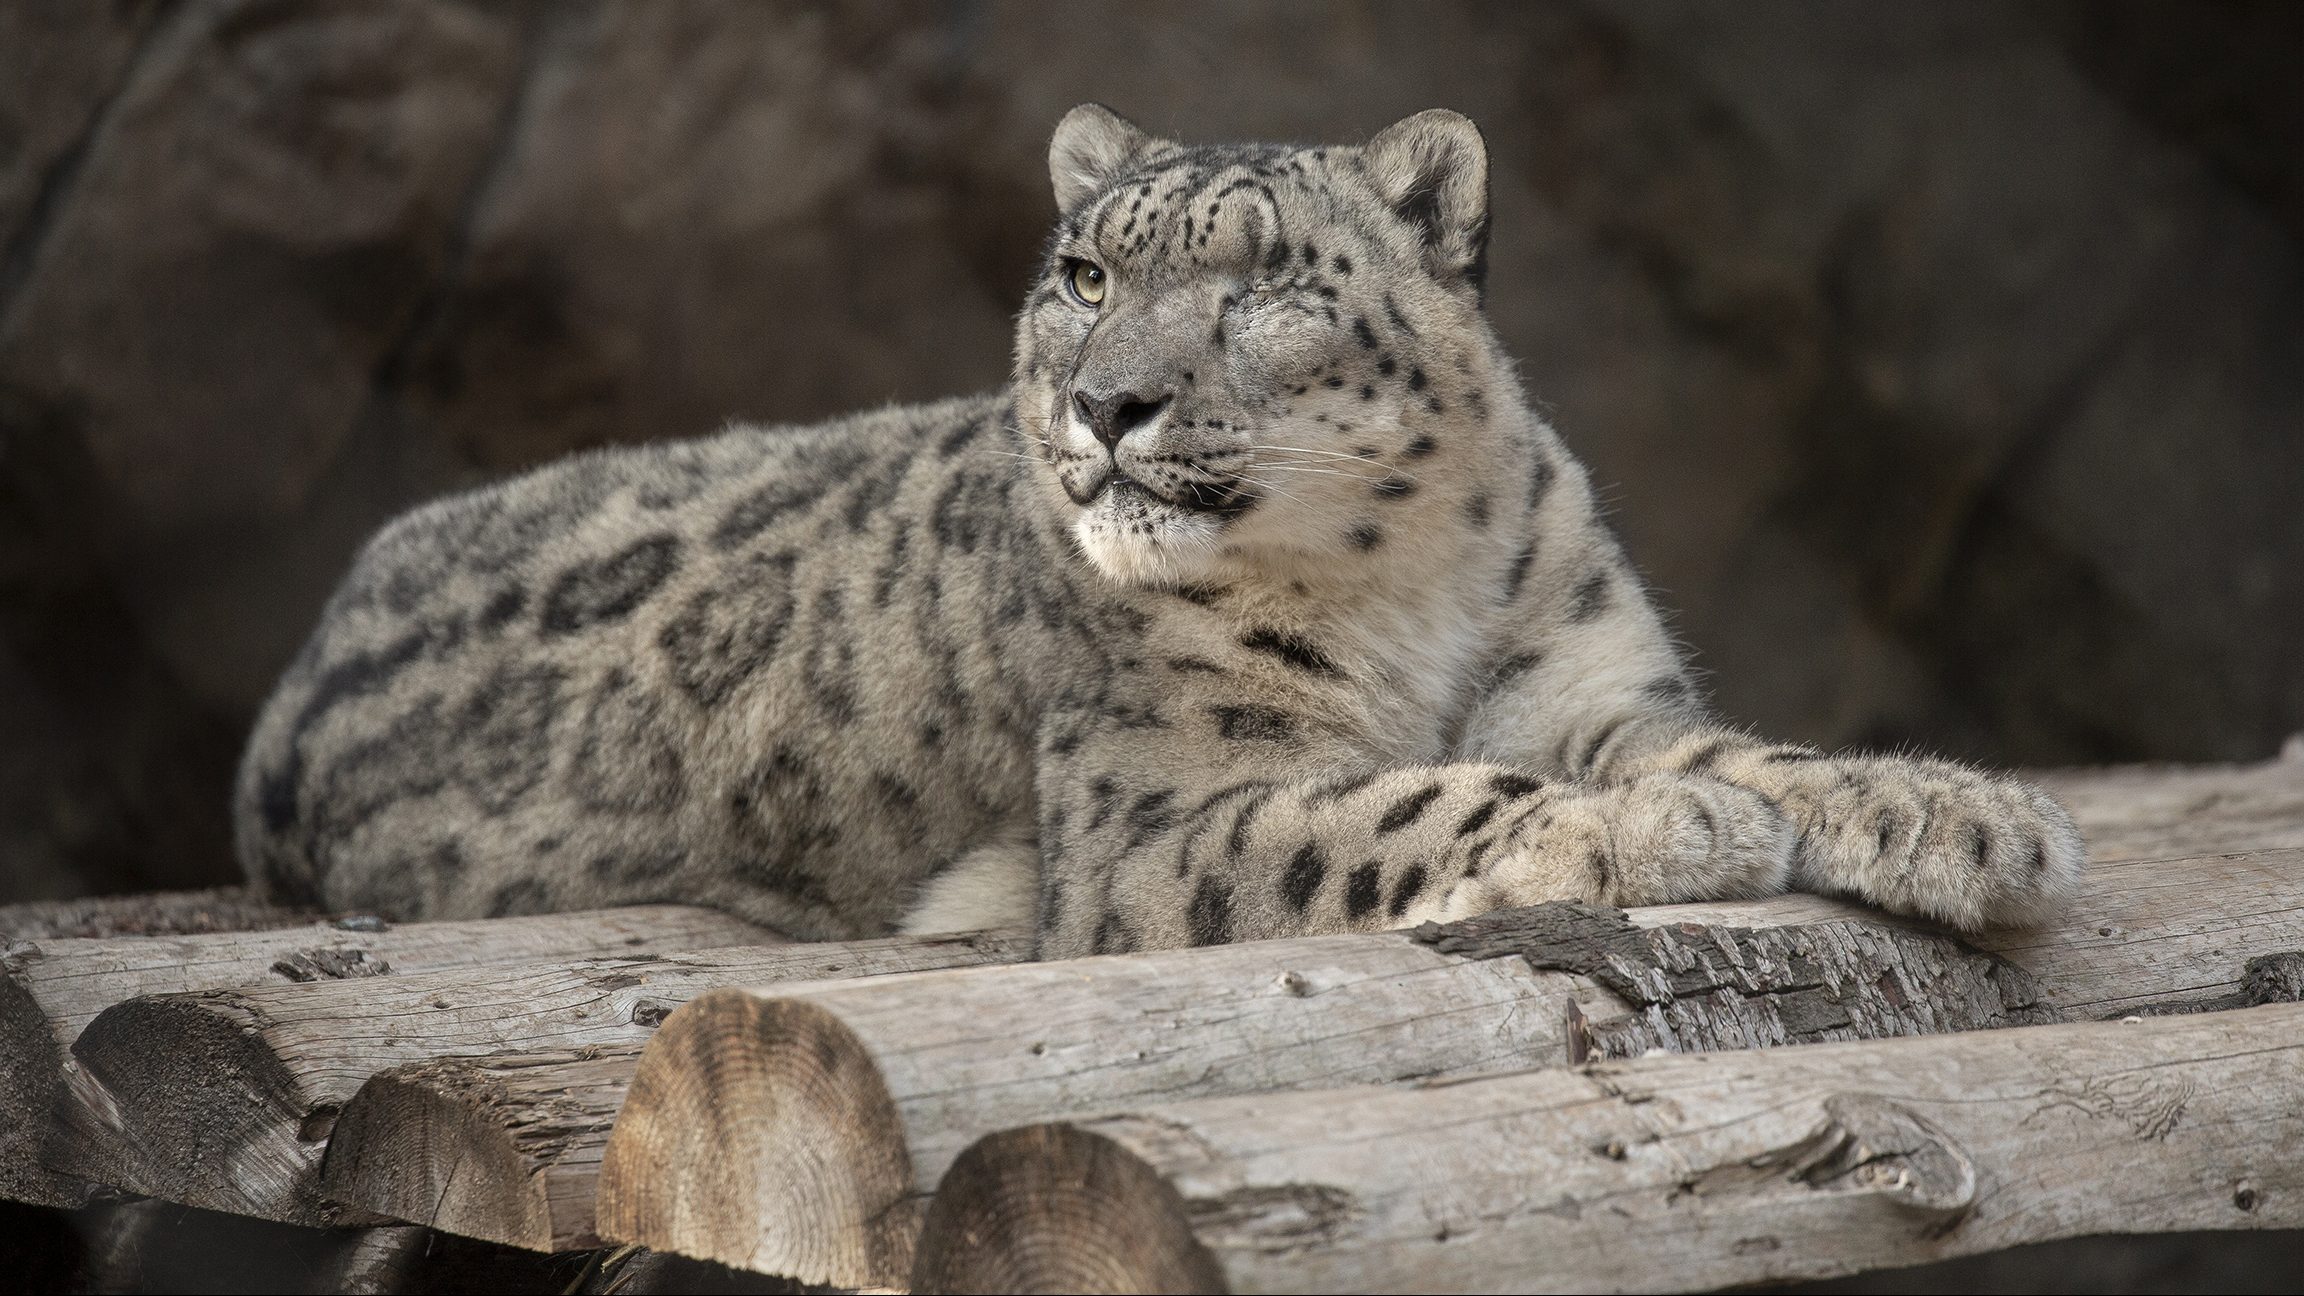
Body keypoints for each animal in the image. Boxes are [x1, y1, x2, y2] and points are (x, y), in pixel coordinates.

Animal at [235, 106, 2086, 958]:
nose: (1106, 402)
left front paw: (1961, 813)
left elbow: (1745, 749)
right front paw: (1660, 832)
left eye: (1263, 281)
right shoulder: (1157, 809)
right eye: (1083, 275)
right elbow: (1401, 800)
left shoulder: (1587, 686)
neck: (1409, 590)